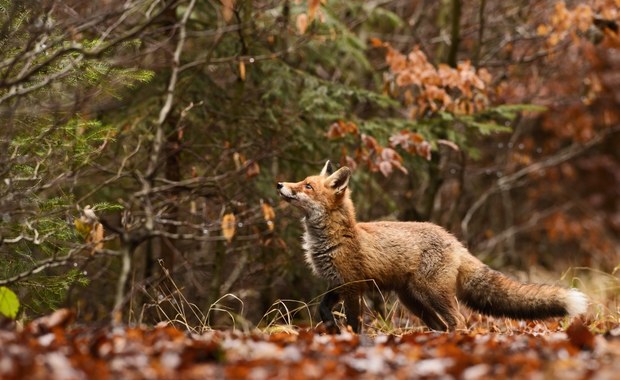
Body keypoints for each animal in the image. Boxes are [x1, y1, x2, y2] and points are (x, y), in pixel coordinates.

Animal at [278, 160, 588, 332]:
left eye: (307, 186)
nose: (280, 183)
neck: (332, 238)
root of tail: (454, 240)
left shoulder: (354, 286)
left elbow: (355, 322)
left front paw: (352, 341)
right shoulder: (337, 284)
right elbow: (322, 309)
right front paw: (331, 328)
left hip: (432, 293)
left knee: (458, 320)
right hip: (413, 300)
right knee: (440, 325)